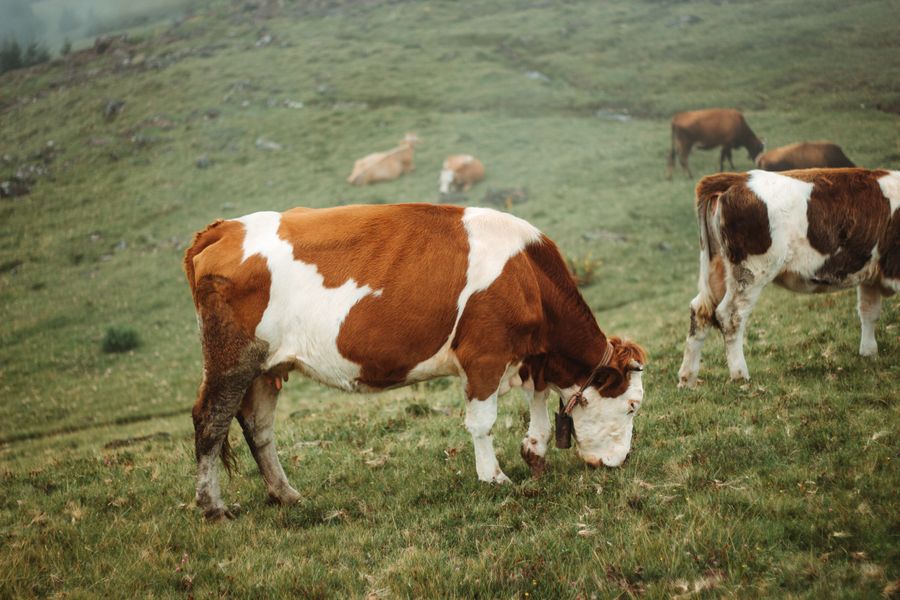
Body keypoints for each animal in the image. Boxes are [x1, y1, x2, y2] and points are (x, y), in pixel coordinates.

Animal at [184, 204, 647, 520]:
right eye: (632, 405)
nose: (621, 462)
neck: (528, 274)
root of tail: (224, 228)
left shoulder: (531, 356)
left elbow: (540, 405)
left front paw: (534, 453)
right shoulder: (485, 355)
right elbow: (483, 423)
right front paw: (493, 477)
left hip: (267, 367)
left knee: (259, 428)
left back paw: (286, 494)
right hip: (231, 357)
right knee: (210, 422)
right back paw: (213, 507)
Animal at [678, 168, 899, 387]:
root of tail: (739, 178)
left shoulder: (870, 277)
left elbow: (869, 312)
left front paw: (869, 354)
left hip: (719, 271)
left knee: (701, 312)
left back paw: (687, 379)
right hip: (751, 273)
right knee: (730, 316)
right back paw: (740, 376)